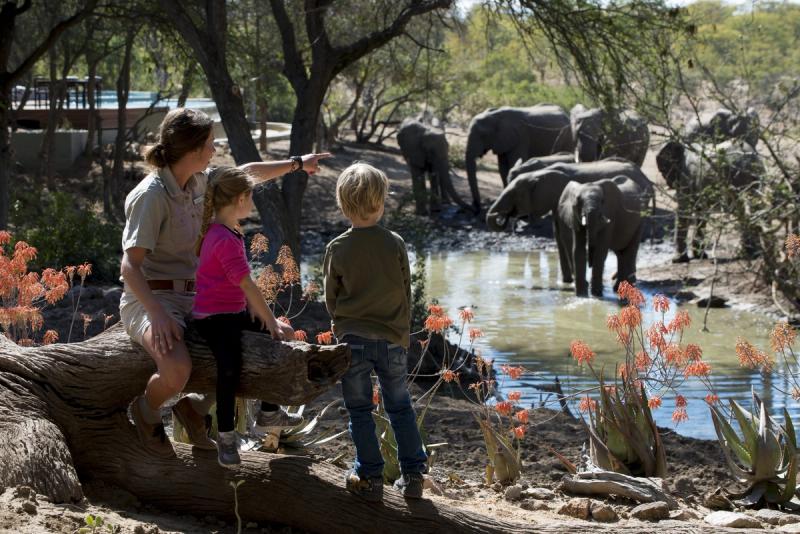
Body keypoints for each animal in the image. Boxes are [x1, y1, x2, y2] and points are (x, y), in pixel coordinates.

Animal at [486, 158, 654, 285]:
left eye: (514, 194)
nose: (503, 217)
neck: (539, 173)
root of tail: (645, 177)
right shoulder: (559, 203)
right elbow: (558, 235)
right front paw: (566, 281)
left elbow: (566, 235)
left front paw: (573, 280)